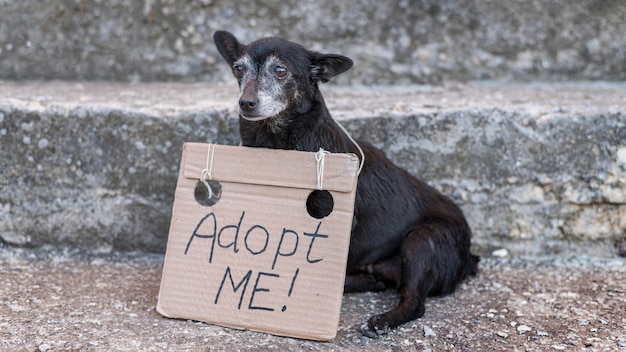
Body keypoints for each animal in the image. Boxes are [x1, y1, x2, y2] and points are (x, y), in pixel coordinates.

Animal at [214, 31, 478, 338]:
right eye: (238, 69)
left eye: (280, 71)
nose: (246, 102)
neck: (276, 141)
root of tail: (470, 254)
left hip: (422, 240)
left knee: (414, 302)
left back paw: (380, 320)